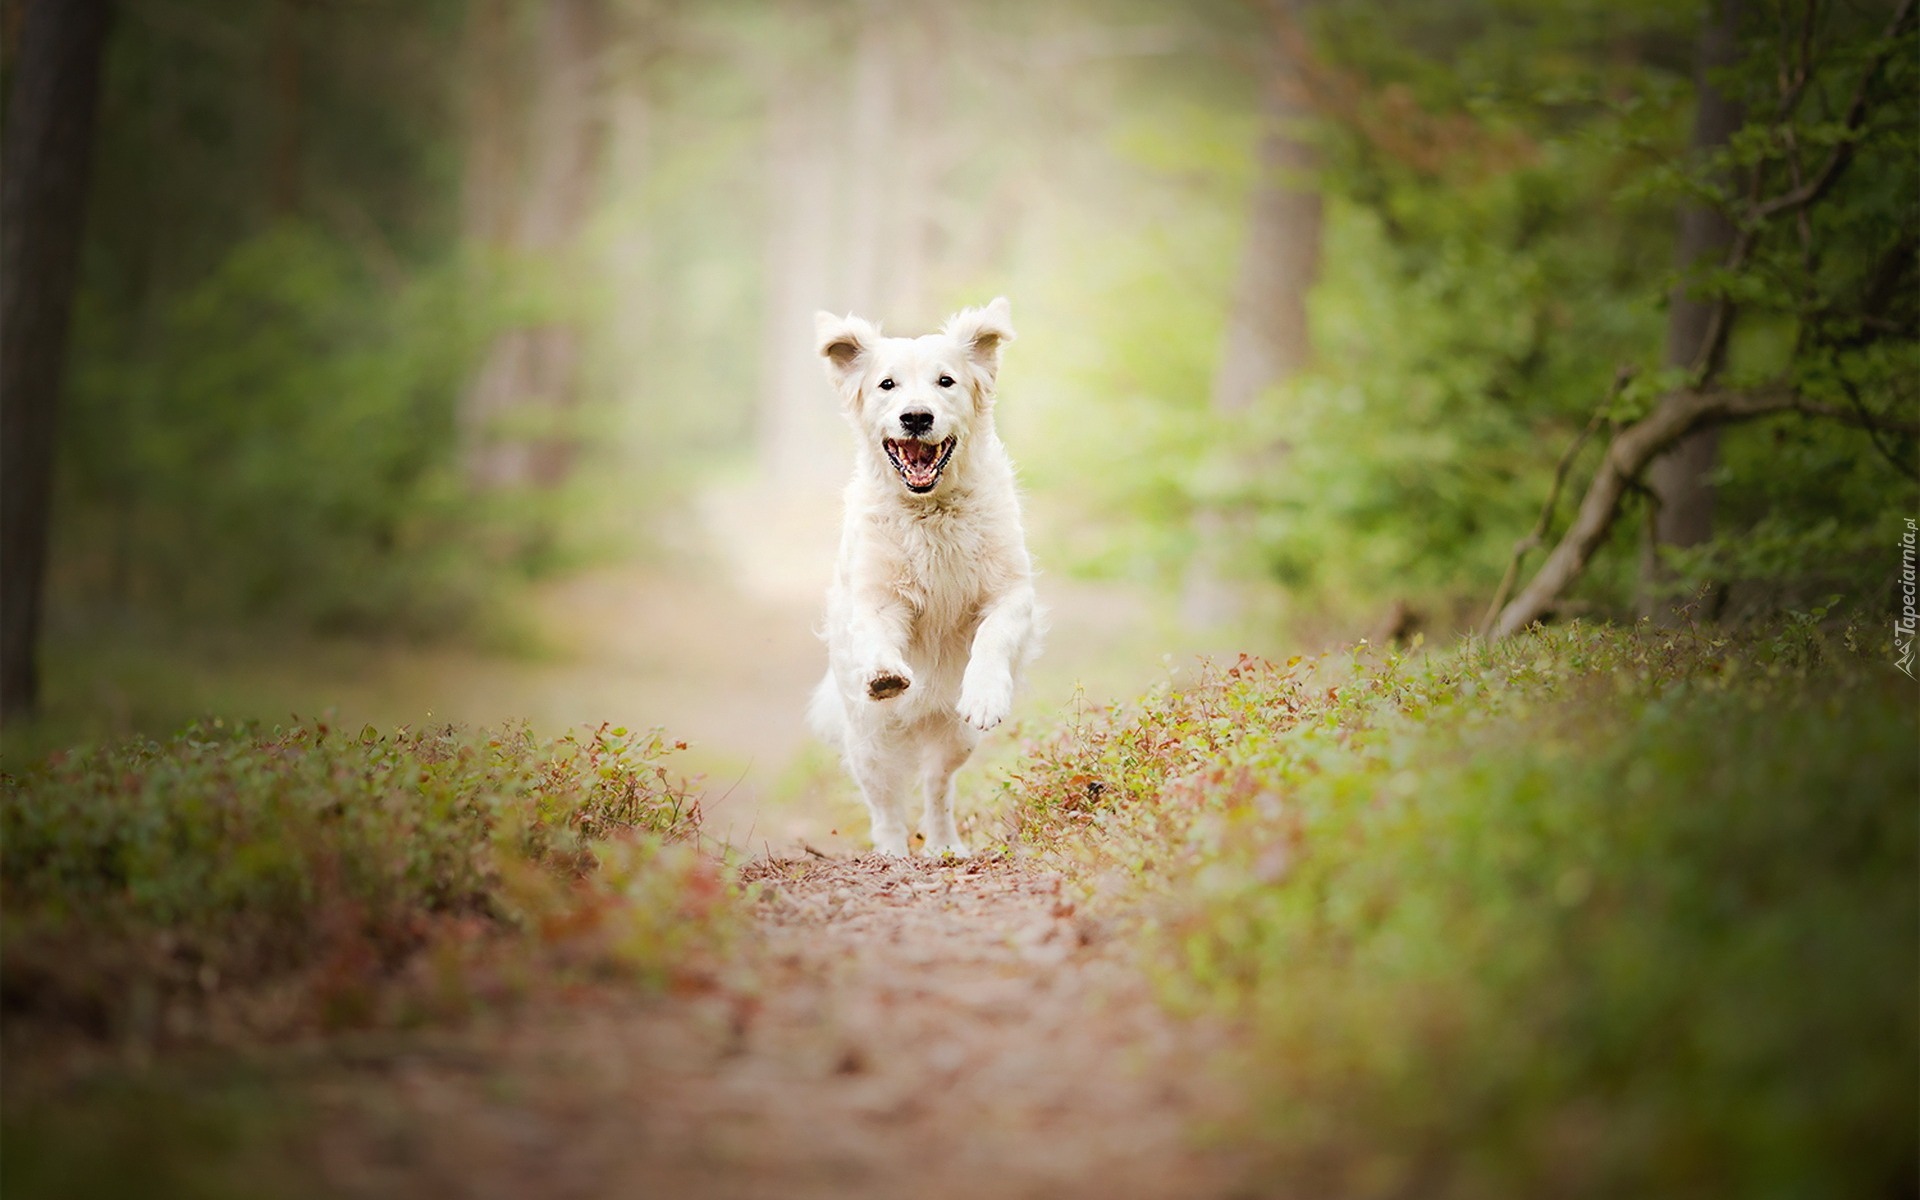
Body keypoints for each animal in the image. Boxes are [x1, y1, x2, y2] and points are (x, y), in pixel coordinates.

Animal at [810, 299, 1052, 860]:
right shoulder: (876, 593)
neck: (931, 511)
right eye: (887, 385)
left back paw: (944, 845)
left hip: (952, 739)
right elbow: (878, 630)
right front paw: (884, 672)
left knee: (936, 789)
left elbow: (991, 636)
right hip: (870, 738)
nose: (916, 417)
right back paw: (892, 852)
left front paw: (985, 695)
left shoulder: (1011, 592)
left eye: (946, 381)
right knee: (885, 803)